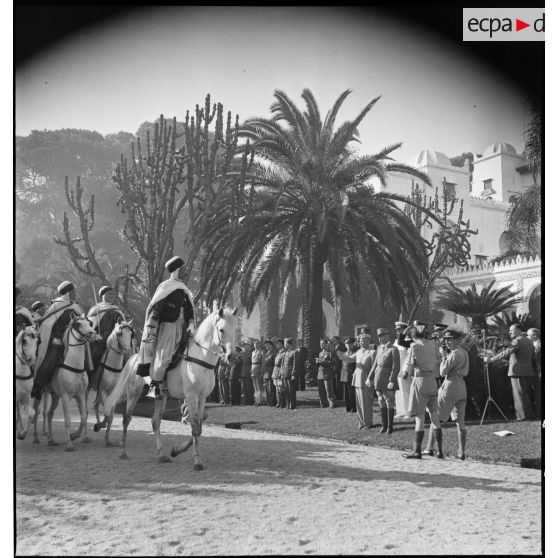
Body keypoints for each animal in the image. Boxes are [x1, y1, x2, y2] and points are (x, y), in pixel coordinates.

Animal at [46, 318, 101, 452]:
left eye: (89, 323)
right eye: (78, 324)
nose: (93, 333)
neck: (74, 367)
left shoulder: (80, 395)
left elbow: (84, 417)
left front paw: (75, 435)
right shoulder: (65, 397)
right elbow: (68, 420)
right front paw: (69, 445)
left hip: (55, 396)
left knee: (49, 414)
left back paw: (51, 440)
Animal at [106, 308, 238, 470]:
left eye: (235, 329)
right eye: (221, 329)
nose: (232, 356)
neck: (201, 359)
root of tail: (135, 357)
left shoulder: (202, 398)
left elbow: (199, 427)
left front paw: (176, 450)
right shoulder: (191, 397)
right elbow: (195, 427)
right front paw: (197, 461)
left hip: (160, 397)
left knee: (155, 422)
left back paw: (161, 455)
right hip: (134, 393)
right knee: (126, 418)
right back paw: (123, 452)